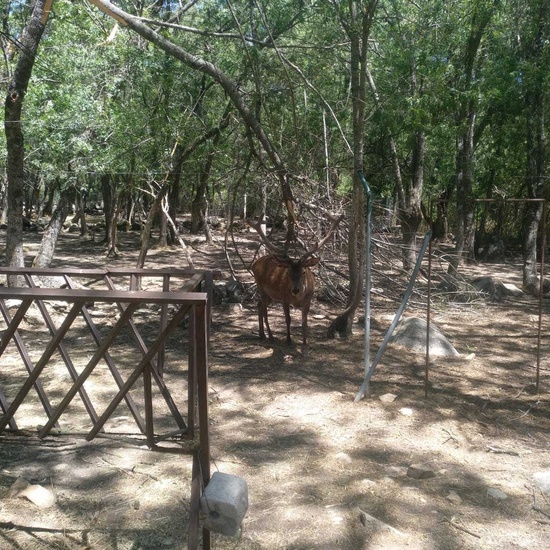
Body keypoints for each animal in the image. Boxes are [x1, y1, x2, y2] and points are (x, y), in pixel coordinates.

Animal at [251, 212, 344, 344]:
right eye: (288, 273)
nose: (295, 290)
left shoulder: (308, 301)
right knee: (264, 310)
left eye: (304, 272)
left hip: (270, 295)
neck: (297, 299)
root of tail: (254, 264)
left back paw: (262, 334)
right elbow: (288, 319)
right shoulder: (284, 299)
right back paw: (270, 336)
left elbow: (304, 323)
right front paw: (289, 341)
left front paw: (305, 342)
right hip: (261, 288)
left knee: (259, 305)